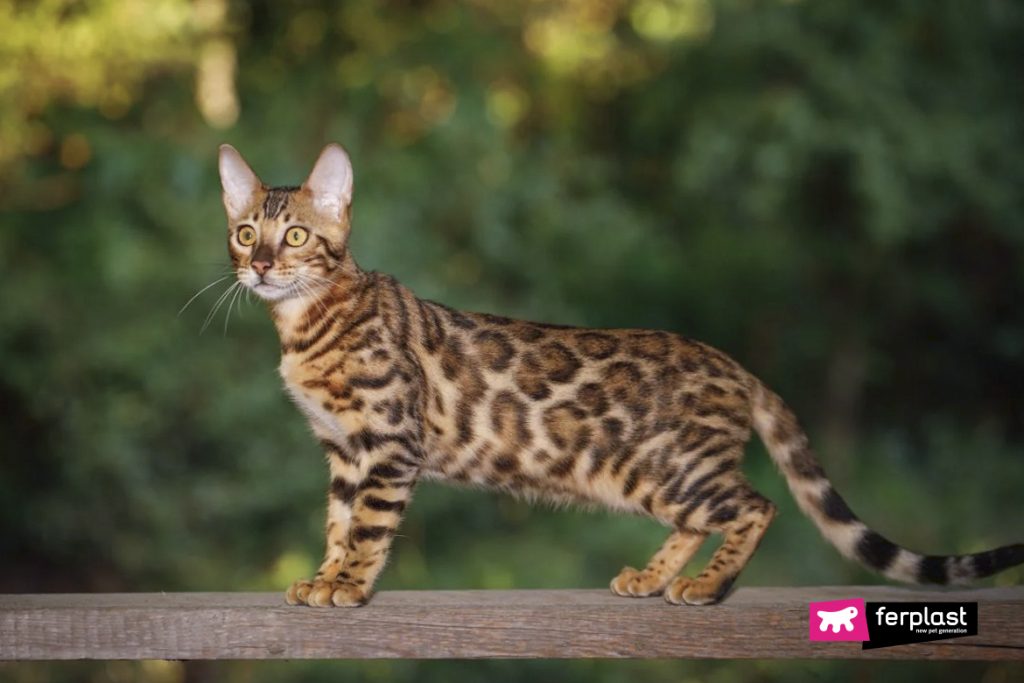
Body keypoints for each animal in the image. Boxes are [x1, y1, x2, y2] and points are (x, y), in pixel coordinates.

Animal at [216, 141, 1024, 606]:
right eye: (245, 231)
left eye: (295, 236)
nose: (260, 266)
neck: (307, 323)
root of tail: (735, 364)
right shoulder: (343, 451)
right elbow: (337, 521)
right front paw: (323, 577)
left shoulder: (389, 441)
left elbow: (368, 528)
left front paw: (348, 587)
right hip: (650, 478)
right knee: (705, 517)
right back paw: (654, 575)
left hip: (671, 468)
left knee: (756, 505)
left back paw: (705, 586)